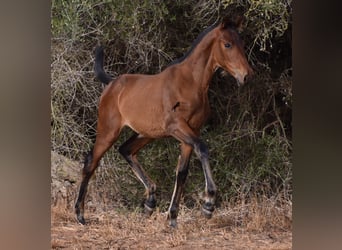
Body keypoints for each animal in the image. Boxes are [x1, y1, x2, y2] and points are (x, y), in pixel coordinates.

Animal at [76, 17, 252, 227]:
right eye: (227, 44)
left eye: (242, 43)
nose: (247, 75)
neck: (191, 82)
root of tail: (111, 84)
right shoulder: (178, 128)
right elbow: (203, 149)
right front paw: (208, 204)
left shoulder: (191, 133)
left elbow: (182, 172)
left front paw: (172, 218)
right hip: (108, 132)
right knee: (91, 162)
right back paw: (80, 215)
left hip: (145, 134)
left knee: (126, 150)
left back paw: (150, 202)